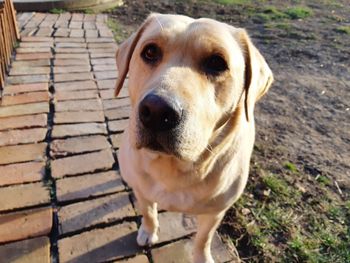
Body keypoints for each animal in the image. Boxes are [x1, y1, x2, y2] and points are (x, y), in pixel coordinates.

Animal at [115, 13, 274, 262]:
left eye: (217, 63)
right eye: (150, 52)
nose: (157, 112)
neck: (173, 168)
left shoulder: (216, 212)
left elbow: (203, 238)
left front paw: (202, 257)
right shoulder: (141, 191)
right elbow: (148, 212)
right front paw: (148, 231)